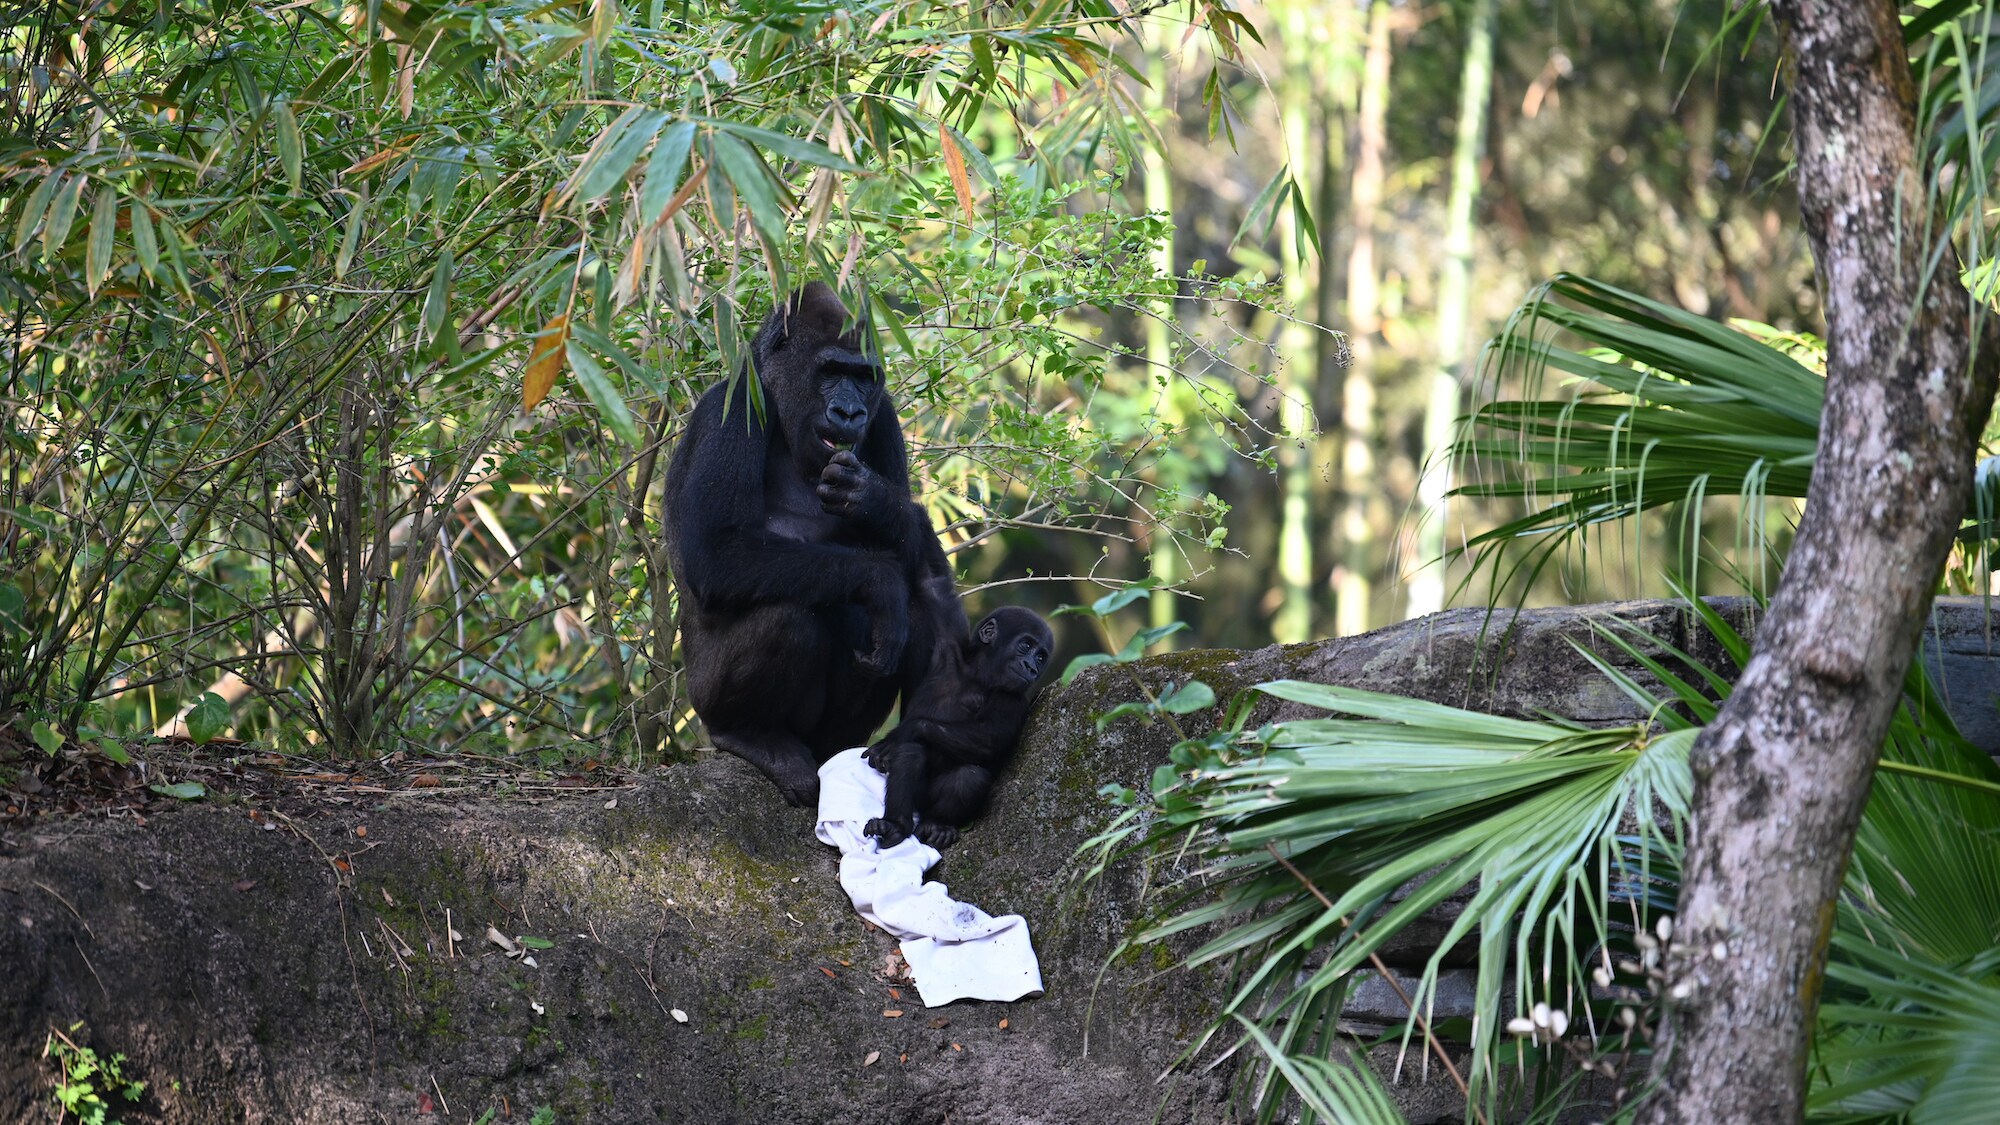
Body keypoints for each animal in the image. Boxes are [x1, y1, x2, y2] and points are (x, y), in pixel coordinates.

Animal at [664, 284, 960, 800]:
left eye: (862, 378)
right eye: (831, 372)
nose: (849, 412)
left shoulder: (884, 416)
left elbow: (915, 555)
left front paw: (875, 502)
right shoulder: (735, 405)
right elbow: (719, 554)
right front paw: (879, 583)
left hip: (833, 741)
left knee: (915, 607)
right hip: (702, 701)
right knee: (790, 615)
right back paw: (751, 736)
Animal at [864, 608, 1064, 844]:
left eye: (1041, 657)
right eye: (1026, 645)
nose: (1032, 667)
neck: (980, 676)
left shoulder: (1013, 700)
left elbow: (989, 738)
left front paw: (903, 731)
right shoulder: (946, 642)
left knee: (969, 778)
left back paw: (936, 824)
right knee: (911, 754)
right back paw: (895, 825)